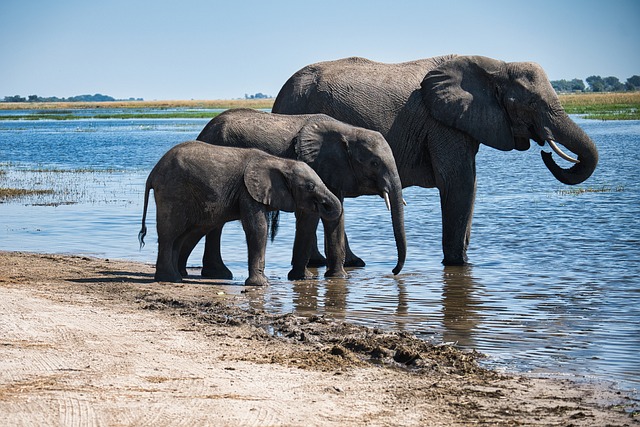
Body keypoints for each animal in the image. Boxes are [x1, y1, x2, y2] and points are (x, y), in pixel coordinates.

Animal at [138, 142, 342, 286]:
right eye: (310, 186)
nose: (323, 205)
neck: (279, 162)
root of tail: (153, 173)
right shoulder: (247, 191)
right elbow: (258, 228)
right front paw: (261, 285)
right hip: (173, 192)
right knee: (170, 233)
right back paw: (170, 279)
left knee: (181, 235)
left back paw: (176, 277)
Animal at [196, 107, 404, 280]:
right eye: (374, 163)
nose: (393, 271)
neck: (348, 131)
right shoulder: (315, 167)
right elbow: (311, 215)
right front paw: (304, 277)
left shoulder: (334, 172)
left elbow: (335, 216)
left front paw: (337, 278)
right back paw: (220, 274)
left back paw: (218, 274)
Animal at [272, 55, 596, 266]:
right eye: (529, 103)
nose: (546, 152)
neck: (496, 66)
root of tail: (278, 97)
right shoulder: (442, 123)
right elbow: (458, 182)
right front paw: (458, 264)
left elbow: (471, 185)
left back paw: (340, 263)